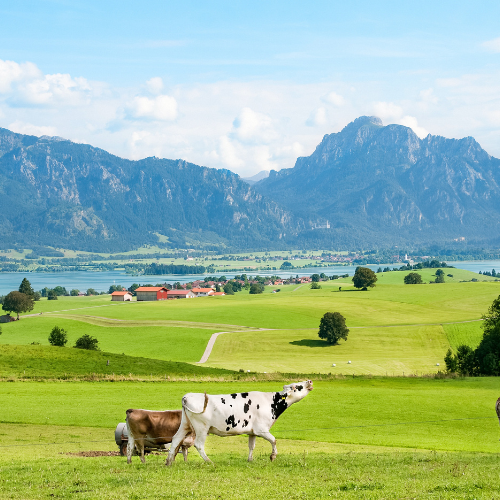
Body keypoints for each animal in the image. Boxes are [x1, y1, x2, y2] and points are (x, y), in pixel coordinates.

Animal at [165, 380, 312, 466]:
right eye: (297, 386)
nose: (309, 381)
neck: (271, 402)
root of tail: (187, 396)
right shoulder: (262, 429)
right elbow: (274, 440)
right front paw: (273, 456)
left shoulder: (253, 432)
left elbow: (251, 446)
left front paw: (250, 460)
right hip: (202, 428)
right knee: (199, 445)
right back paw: (209, 461)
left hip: (185, 425)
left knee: (176, 439)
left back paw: (169, 461)